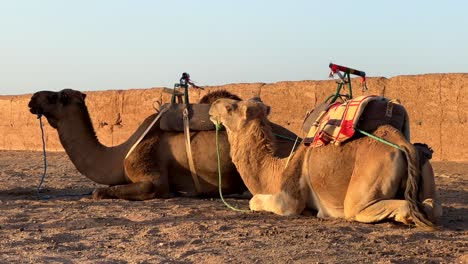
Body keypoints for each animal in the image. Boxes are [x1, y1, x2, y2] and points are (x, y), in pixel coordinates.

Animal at [210, 98, 440, 228]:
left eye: (230, 107)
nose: (212, 105)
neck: (277, 169)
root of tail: (402, 143)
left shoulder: (288, 199)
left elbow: (255, 200)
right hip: (425, 170)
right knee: (432, 205)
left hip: (365, 188)